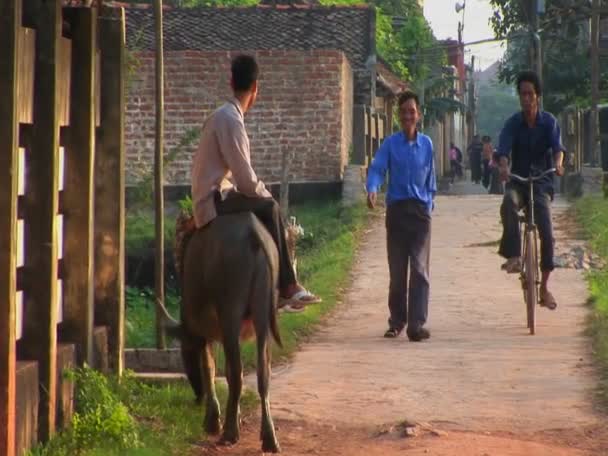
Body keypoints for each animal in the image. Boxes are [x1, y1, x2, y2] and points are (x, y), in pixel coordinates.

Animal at [163, 213, 284, 452]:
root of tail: (253, 234)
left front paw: (212, 420)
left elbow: (209, 367)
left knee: (237, 373)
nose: (197, 397)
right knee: (262, 373)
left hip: (230, 311)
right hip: (262, 312)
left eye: (184, 355)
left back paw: (229, 433)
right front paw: (233, 415)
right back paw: (269, 437)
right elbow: (223, 370)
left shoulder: (201, 334)